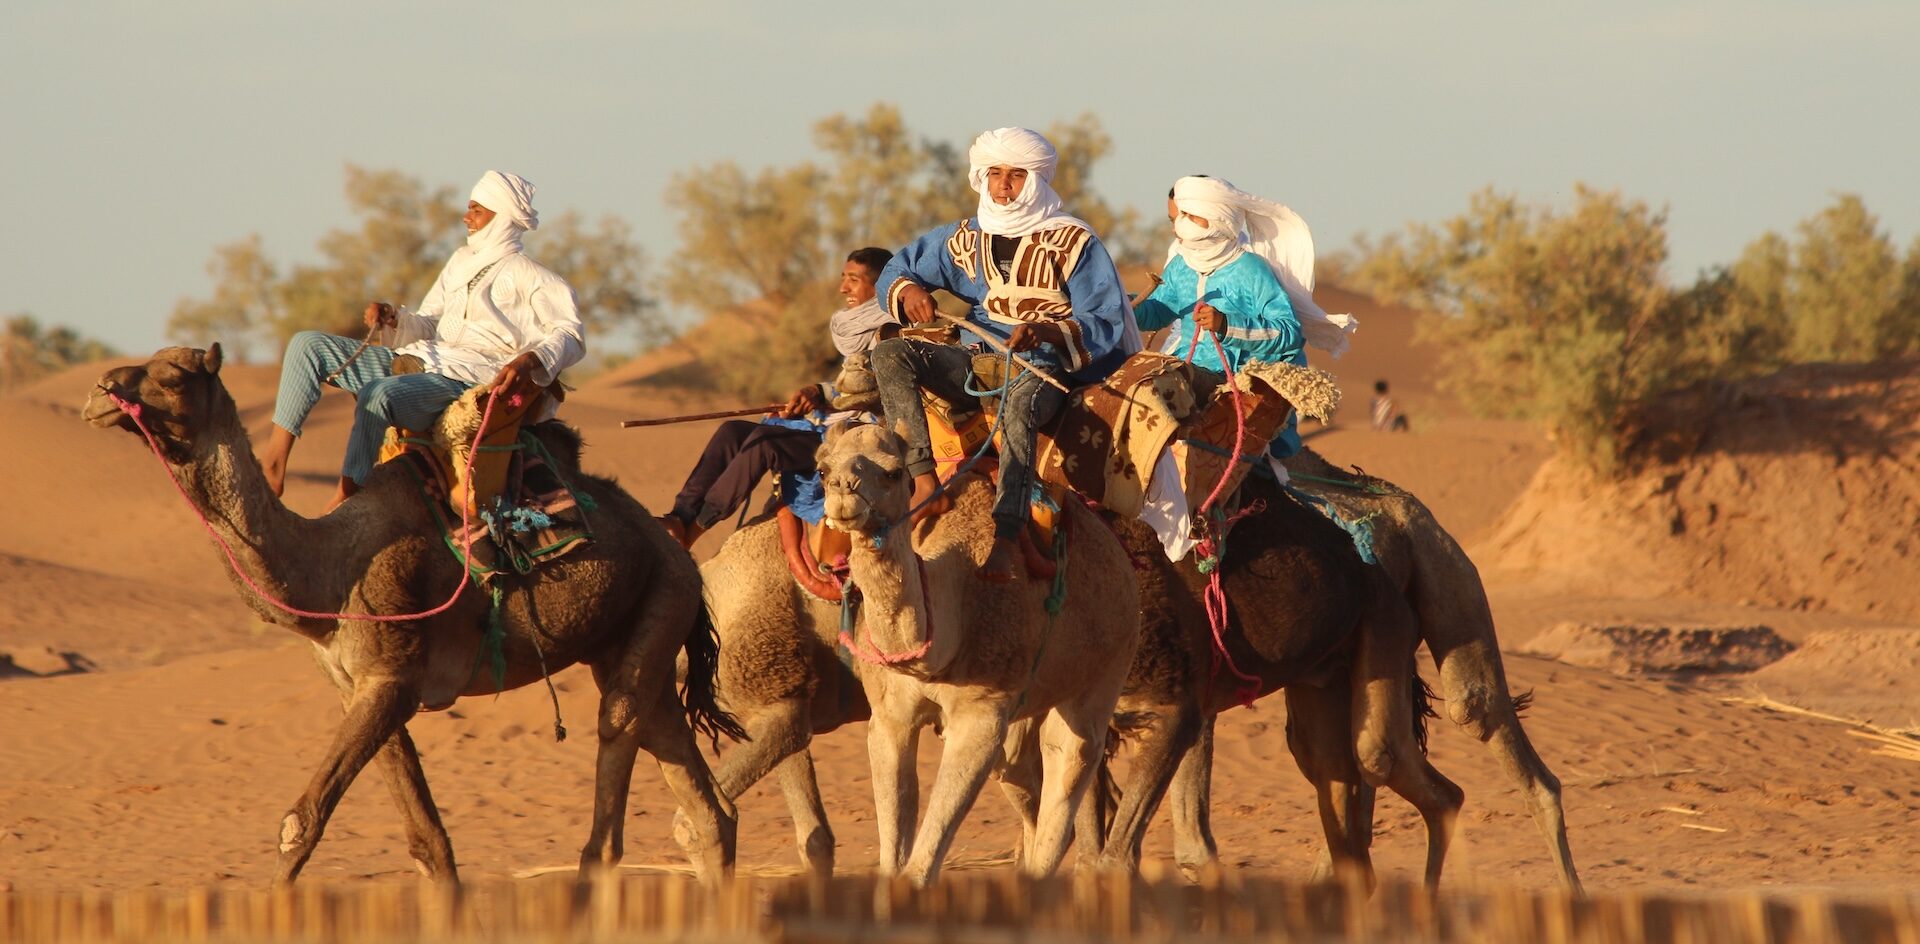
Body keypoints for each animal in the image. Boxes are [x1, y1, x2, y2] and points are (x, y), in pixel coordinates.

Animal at [91, 347, 748, 886]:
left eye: (173, 374)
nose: (101, 389)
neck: (327, 572)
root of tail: (675, 544)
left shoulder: (392, 680)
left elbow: (300, 822)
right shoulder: (358, 688)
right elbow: (428, 842)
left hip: (663, 597)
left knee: (614, 757)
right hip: (638, 633)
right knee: (705, 803)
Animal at [814, 424, 1136, 890]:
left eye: (893, 472)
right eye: (822, 469)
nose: (843, 490)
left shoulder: (979, 716)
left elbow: (919, 866)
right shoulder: (890, 718)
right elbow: (894, 857)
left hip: (1109, 666)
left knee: (1070, 761)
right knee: (1024, 776)